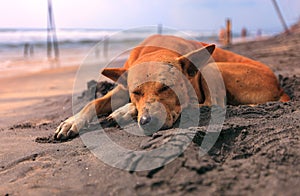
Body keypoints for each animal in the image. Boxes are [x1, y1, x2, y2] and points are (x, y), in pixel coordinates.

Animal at [53, 34, 288, 140]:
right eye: (136, 92)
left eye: (167, 88)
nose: (147, 122)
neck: (155, 50)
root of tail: (280, 87)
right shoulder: (121, 89)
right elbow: (92, 102)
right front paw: (72, 121)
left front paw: (125, 110)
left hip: (212, 67)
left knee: (212, 104)